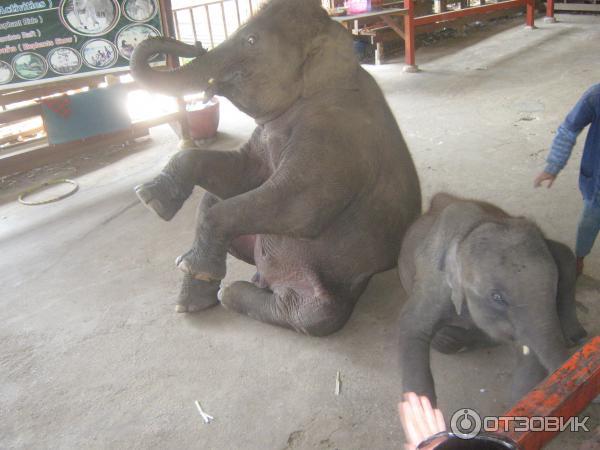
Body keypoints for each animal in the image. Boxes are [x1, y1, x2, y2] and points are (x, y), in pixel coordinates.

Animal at [131, 0, 422, 336]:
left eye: (251, 40)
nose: (195, 44)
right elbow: (242, 173)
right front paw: (151, 201)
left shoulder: (335, 133)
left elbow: (300, 206)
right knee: (213, 200)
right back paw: (195, 299)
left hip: (332, 283)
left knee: (317, 314)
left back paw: (229, 292)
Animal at [398, 192, 584, 404]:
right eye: (497, 297)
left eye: (555, 285)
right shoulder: (433, 282)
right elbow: (411, 326)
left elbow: (528, 353)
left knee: (567, 255)